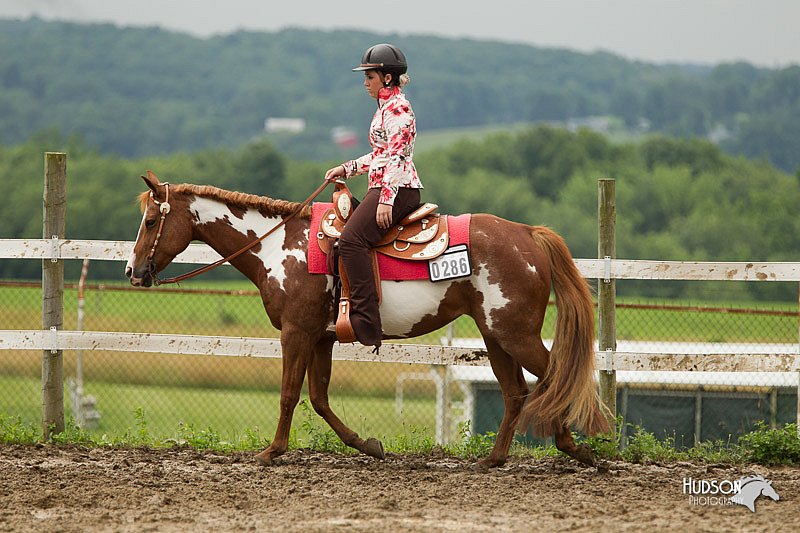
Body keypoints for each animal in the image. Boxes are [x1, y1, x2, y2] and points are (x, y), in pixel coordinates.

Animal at [125, 172, 608, 468]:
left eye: (149, 221)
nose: (133, 271)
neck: (277, 245)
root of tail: (527, 234)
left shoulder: (296, 334)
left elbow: (288, 394)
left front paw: (272, 451)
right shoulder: (320, 338)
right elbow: (318, 398)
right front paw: (369, 446)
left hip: (515, 333)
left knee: (557, 377)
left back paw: (579, 450)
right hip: (495, 335)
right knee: (516, 392)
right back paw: (495, 459)